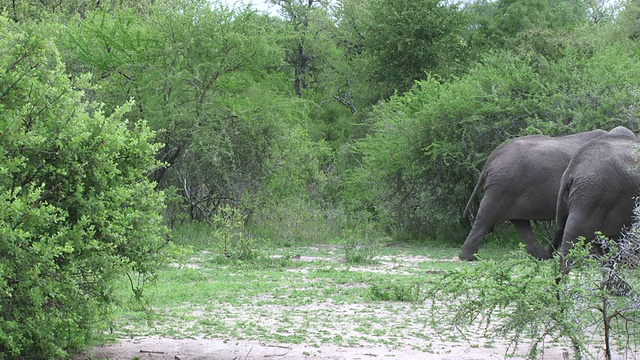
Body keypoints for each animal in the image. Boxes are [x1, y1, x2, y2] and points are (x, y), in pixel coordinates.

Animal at [458, 129, 608, 258]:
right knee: (486, 216)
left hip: (507, 187)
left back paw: (541, 256)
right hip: (502, 185)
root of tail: (492, 157)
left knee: (520, 222)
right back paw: (468, 257)